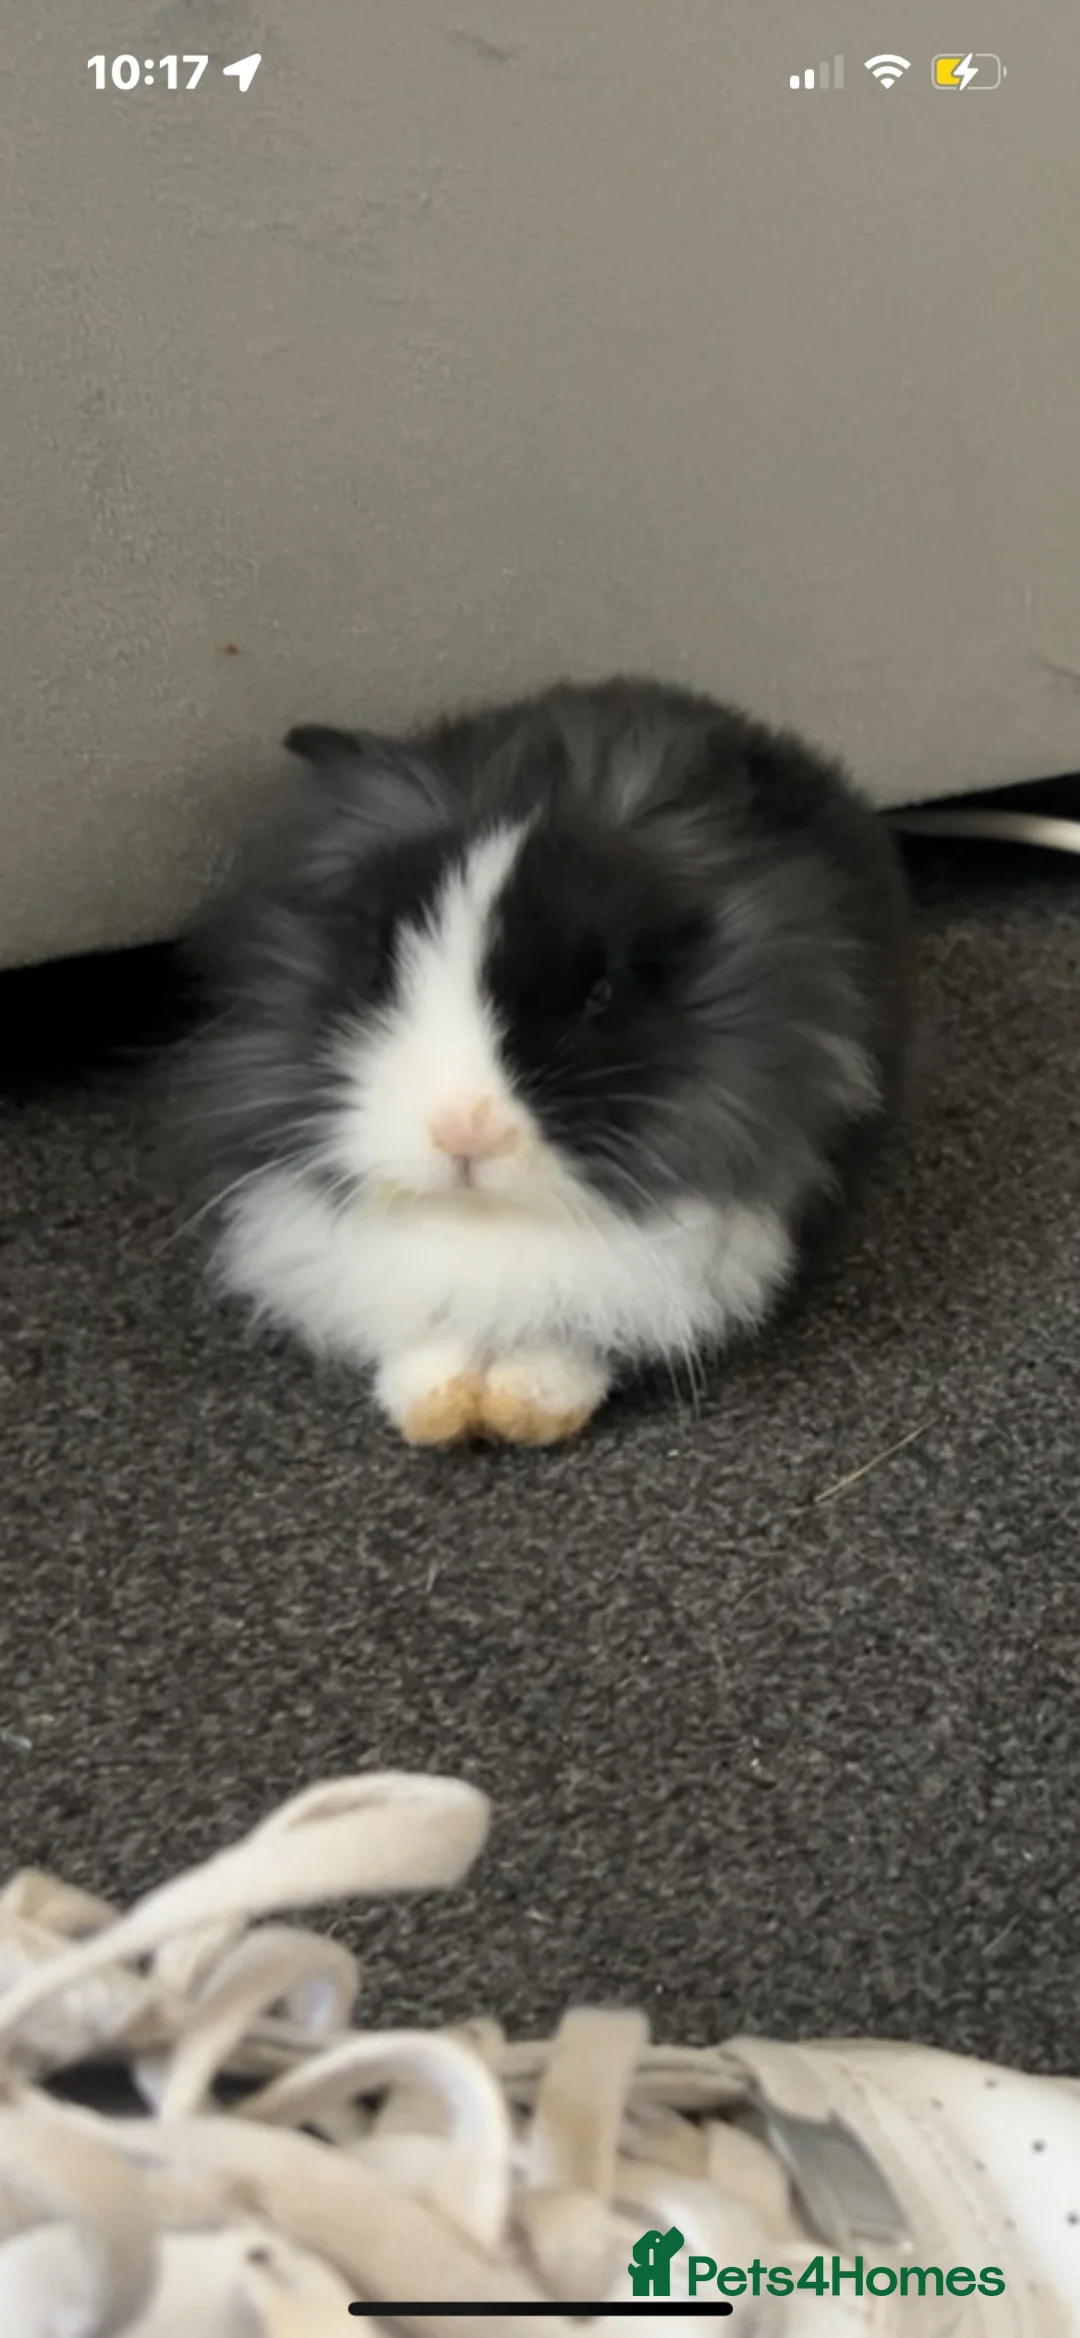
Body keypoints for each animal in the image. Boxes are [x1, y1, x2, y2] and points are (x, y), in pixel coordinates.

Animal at [173, 677, 909, 1446]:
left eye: (602, 993)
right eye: (380, 967)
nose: (463, 1130)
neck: (489, 1220)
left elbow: (574, 1333)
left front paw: (528, 1409)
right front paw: (434, 1408)